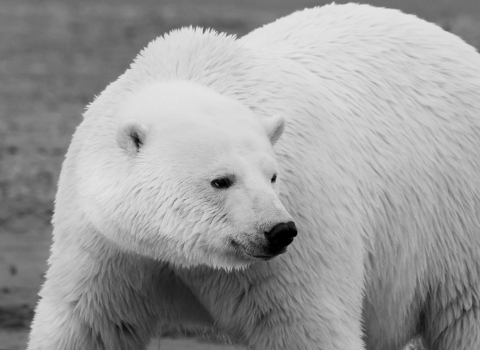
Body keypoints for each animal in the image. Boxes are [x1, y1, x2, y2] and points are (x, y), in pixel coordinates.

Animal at [28, 2, 478, 350]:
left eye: (273, 175)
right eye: (221, 180)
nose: (279, 231)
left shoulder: (299, 241)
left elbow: (305, 327)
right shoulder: (108, 244)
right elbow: (87, 324)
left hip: (457, 214)